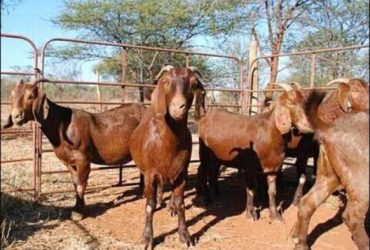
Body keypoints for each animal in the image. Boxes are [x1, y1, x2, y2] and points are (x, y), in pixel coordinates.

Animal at [4, 79, 147, 219]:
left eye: (30, 96)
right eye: (12, 95)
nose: (16, 116)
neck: (62, 126)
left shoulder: (83, 159)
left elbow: (81, 183)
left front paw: (79, 212)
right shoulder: (68, 161)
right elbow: (74, 182)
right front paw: (77, 207)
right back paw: (142, 192)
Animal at [129, 65, 205, 249]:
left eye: (194, 84)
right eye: (166, 82)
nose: (179, 106)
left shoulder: (182, 172)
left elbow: (180, 203)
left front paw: (185, 235)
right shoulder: (150, 173)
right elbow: (149, 206)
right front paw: (147, 238)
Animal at [197, 84, 312, 221]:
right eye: (292, 104)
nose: (309, 125)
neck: (269, 134)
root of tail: (205, 117)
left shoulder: (273, 168)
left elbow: (272, 191)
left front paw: (275, 215)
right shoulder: (249, 168)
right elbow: (251, 190)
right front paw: (251, 214)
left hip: (217, 157)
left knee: (212, 171)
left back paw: (216, 193)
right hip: (204, 153)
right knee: (203, 172)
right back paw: (207, 199)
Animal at [292, 78, 370, 250]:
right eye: (355, 90)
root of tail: (329, 129)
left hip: (328, 176)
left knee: (307, 203)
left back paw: (301, 244)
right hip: (361, 182)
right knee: (352, 217)